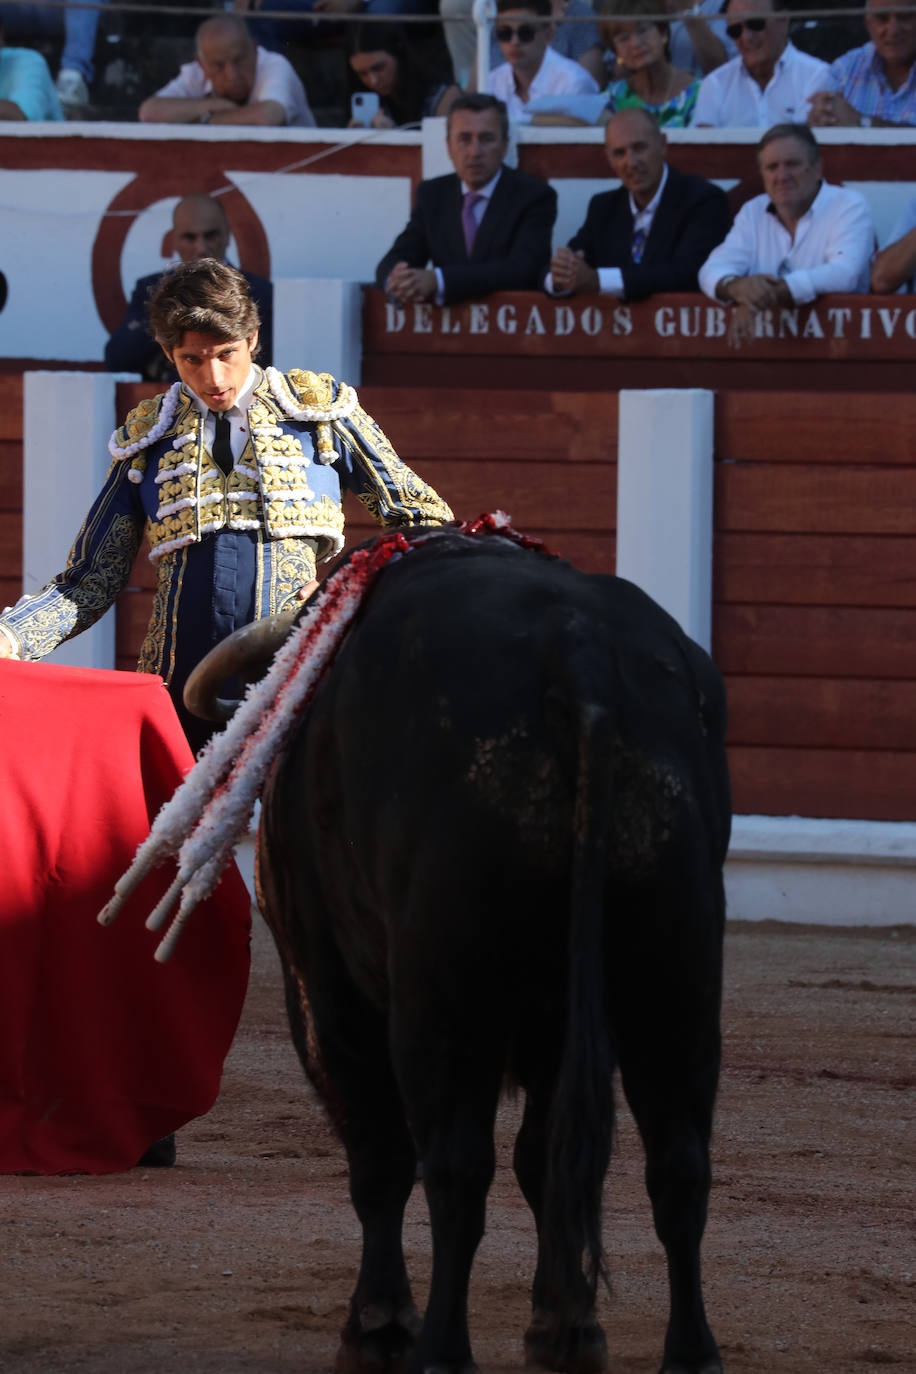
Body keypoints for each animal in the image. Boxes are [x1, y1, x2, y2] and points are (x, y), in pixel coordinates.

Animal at [248, 524, 730, 1374]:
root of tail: (579, 654)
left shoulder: (324, 986)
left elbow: (380, 1155)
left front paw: (378, 1324)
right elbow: (546, 1163)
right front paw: (564, 1325)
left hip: (446, 998)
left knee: (452, 1166)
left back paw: (442, 1346)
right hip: (678, 973)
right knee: (676, 1164)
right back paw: (688, 1351)